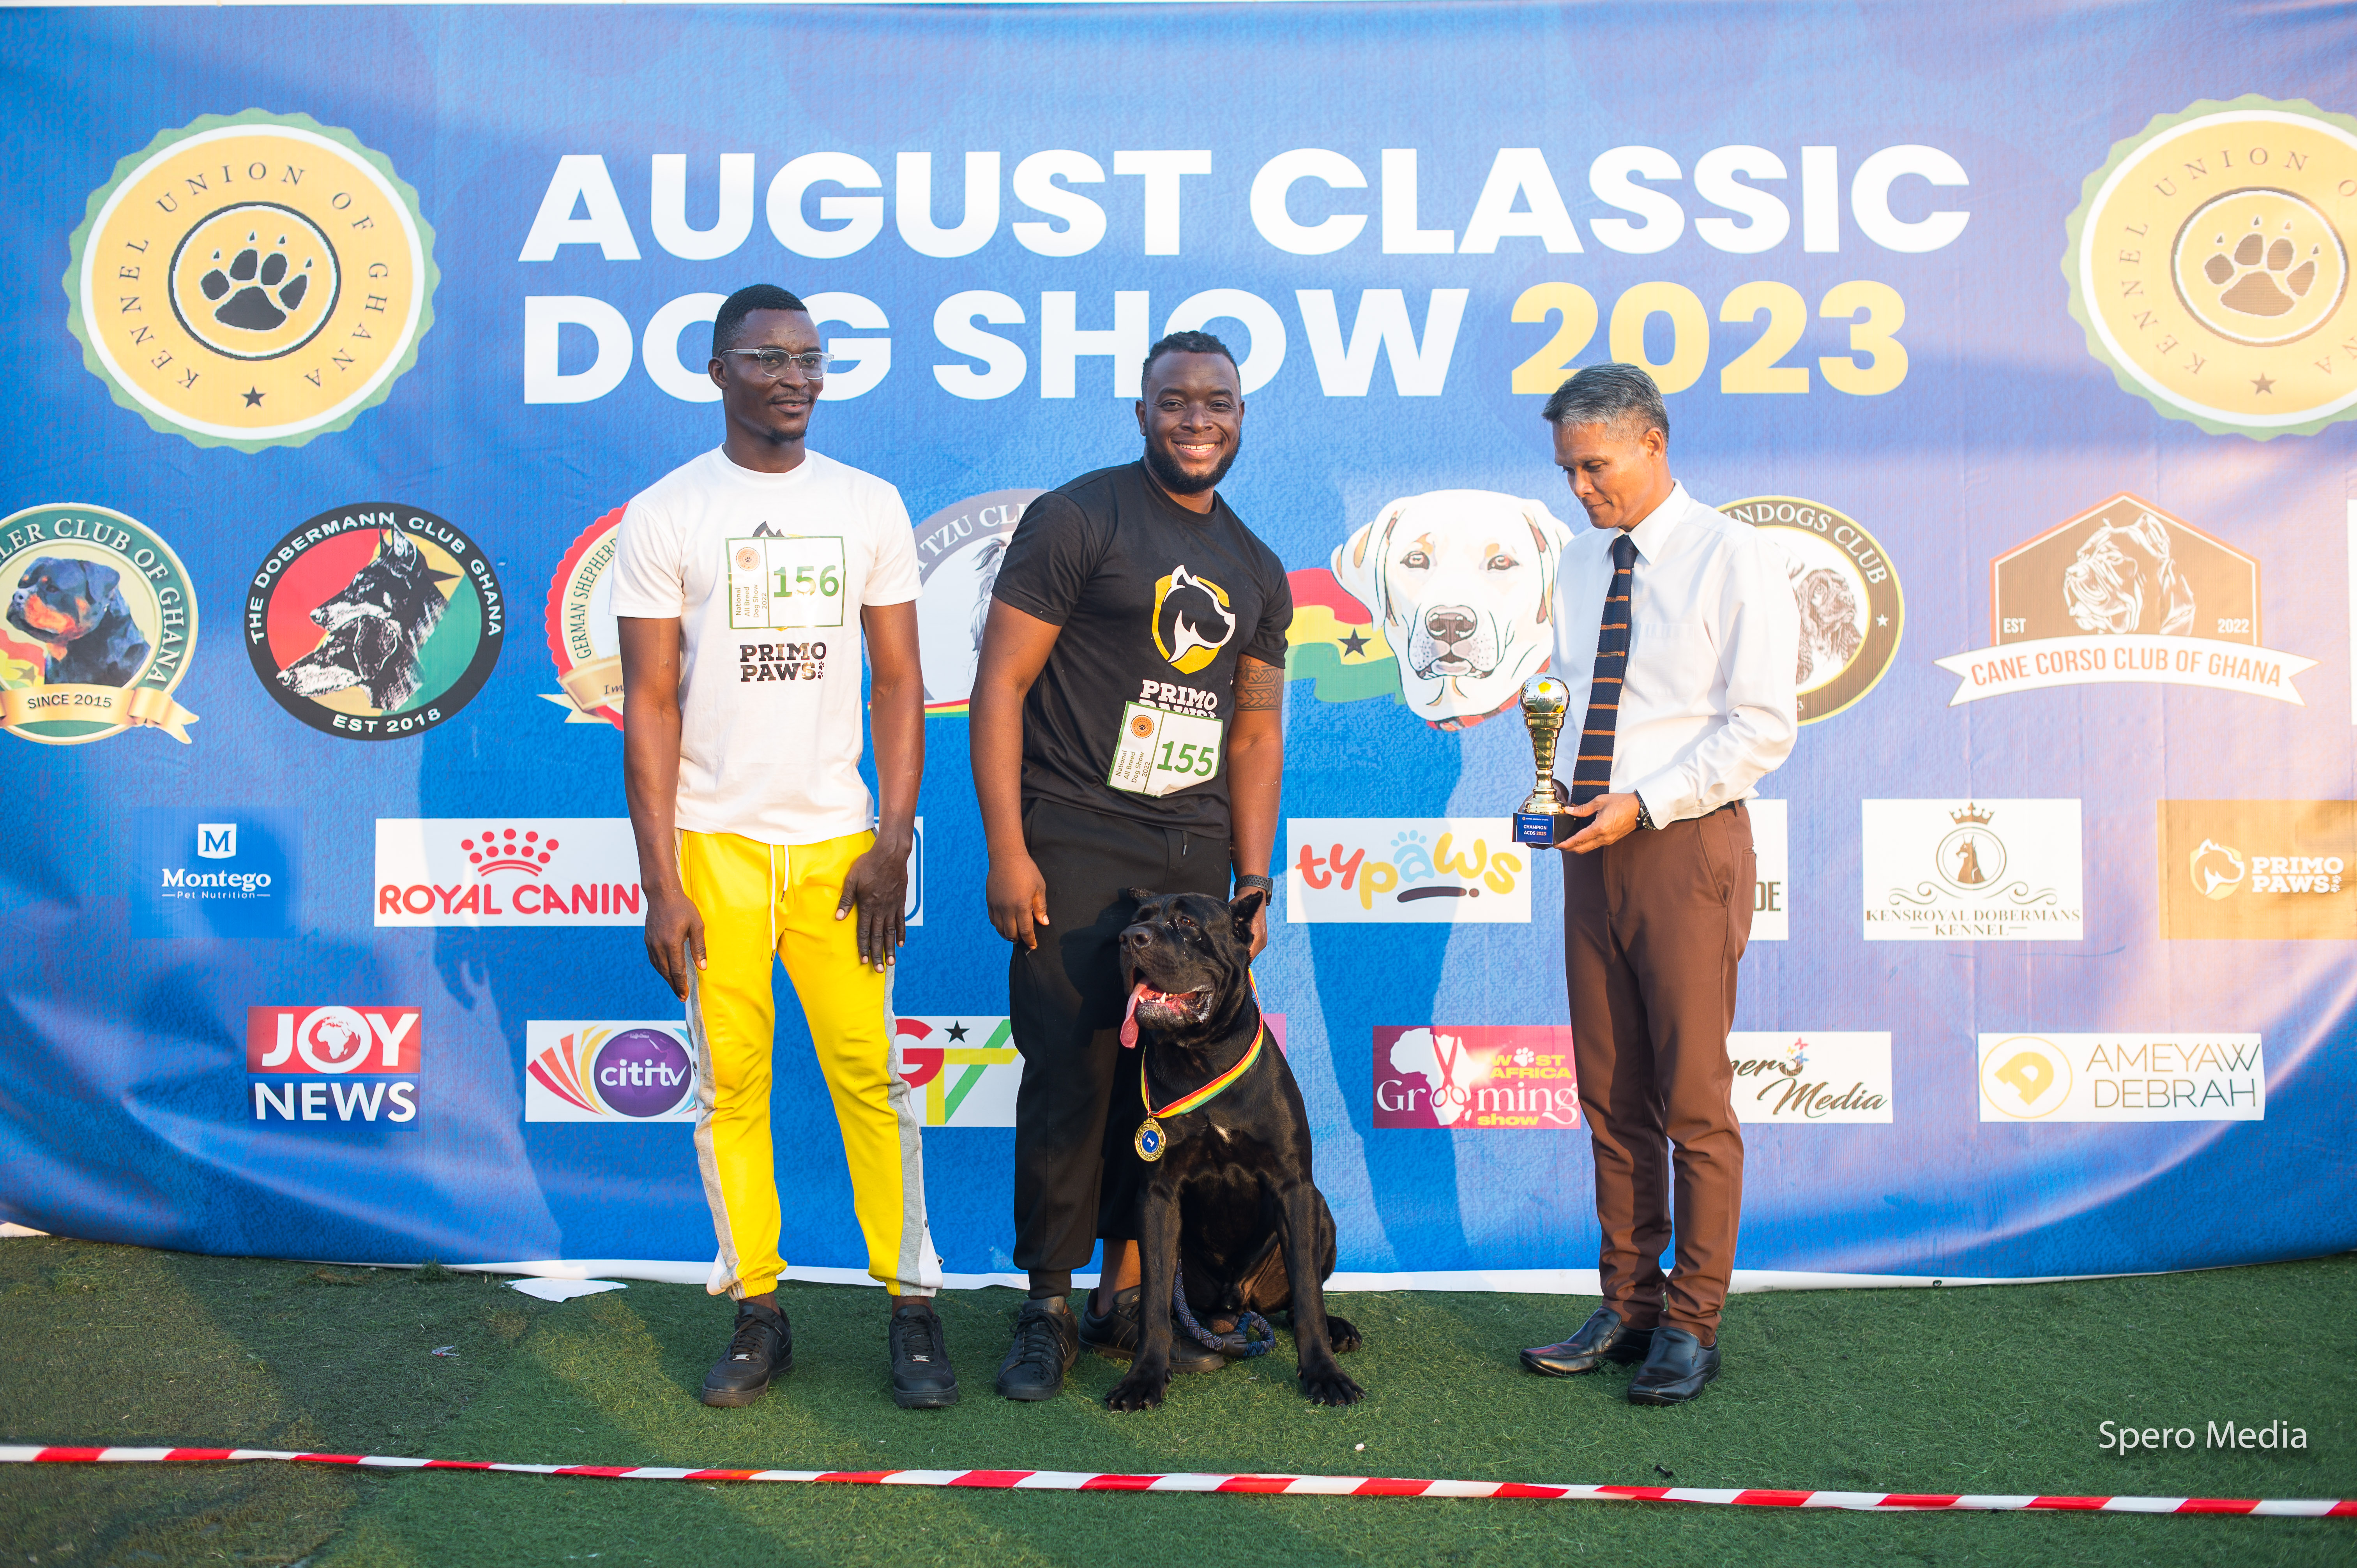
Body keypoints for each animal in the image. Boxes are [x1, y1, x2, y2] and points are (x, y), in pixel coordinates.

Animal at [1108, 887, 1363, 1410]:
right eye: (1138, 918)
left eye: (1186, 923)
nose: (1129, 938)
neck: (1203, 1055)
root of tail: (1236, 1305)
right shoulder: (1158, 1195)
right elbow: (1156, 1298)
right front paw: (1145, 1376)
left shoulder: (1294, 1187)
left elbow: (1309, 1293)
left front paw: (1324, 1372)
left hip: (1321, 1213)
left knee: (1299, 1300)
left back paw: (1338, 1329)